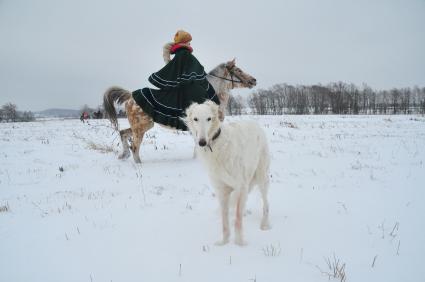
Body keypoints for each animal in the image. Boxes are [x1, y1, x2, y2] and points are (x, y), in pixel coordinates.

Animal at [181, 101, 268, 245]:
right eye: (195, 119)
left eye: (209, 118)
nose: (202, 142)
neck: (216, 143)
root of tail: (255, 124)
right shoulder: (221, 190)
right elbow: (225, 221)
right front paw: (224, 242)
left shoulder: (241, 185)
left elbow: (238, 219)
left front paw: (239, 243)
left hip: (262, 176)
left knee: (266, 203)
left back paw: (265, 225)